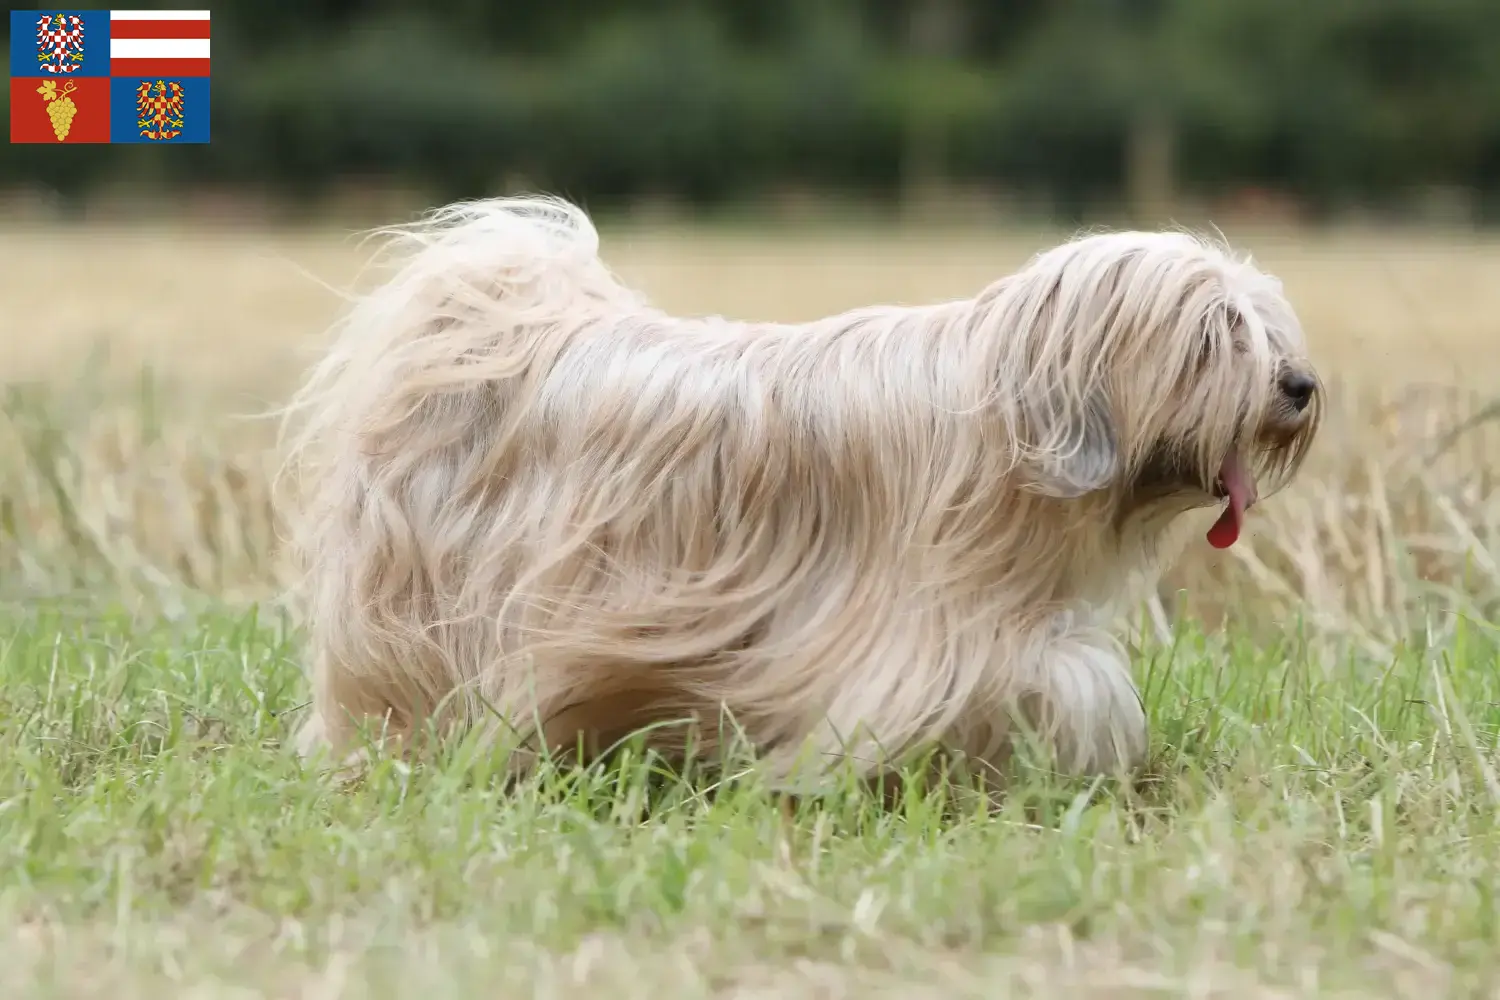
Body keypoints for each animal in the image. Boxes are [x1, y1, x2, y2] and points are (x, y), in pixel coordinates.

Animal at [276, 194, 1320, 791]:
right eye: (1216, 334)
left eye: (1269, 327)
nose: (1302, 385)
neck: (1008, 404)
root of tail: (493, 324)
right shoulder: (922, 629)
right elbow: (1061, 681)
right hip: (422, 600)